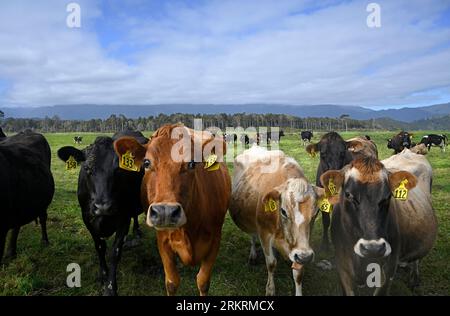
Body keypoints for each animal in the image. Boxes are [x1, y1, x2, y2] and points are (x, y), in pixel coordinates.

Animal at [56, 129, 148, 296]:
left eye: (118, 169)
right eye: (87, 169)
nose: (103, 207)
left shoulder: (123, 218)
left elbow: (114, 252)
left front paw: (110, 287)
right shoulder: (87, 218)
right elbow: (100, 247)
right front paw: (103, 276)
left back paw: (137, 231)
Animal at [112, 124, 232, 296]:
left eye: (191, 164)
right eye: (146, 163)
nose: (165, 212)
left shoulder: (215, 238)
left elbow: (203, 282)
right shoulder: (162, 240)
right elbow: (172, 282)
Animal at [230, 146, 326, 296]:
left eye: (316, 213)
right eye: (283, 211)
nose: (305, 257)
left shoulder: (302, 247)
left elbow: (298, 272)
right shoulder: (264, 233)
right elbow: (271, 263)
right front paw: (270, 289)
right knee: (252, 236)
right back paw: (253, 255)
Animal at [322, 150, 438, 294]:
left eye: (388, 196)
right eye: (348, 195)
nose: (373, 248)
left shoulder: (388, 269)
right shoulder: (342, 266)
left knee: (416, 258)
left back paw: (414, 278)